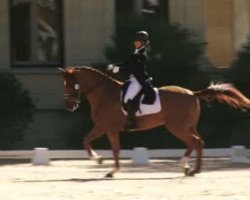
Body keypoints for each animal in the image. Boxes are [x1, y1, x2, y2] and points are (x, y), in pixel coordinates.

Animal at [59, 67, 250, 177]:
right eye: (64, 84)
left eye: (69, 84)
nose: (69, 106)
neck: (103, 93)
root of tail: (192, 93)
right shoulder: (109, 129)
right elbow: (110, 148)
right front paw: (110, 168)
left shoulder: (105, 127)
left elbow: (90, 142)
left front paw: (99, 161)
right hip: (187, 127)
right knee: (197, 143)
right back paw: (190, 168)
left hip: (177, 127)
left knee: (194, 142)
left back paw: (189, 168)